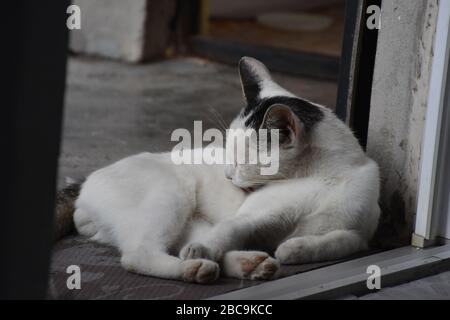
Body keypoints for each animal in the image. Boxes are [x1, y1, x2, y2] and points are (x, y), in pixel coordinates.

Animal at [57, 57, 380, 282]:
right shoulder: (253, 214)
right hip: (171, 195)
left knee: (191, 243)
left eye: (241, 160)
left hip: (189, 218)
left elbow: (341, 241)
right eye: (228, 154)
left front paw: (297, 248)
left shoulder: (361, 235)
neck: (327, 177)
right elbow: (232, 226)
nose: (227, 175)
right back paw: (195, 265)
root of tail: (84, 183)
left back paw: (247, 264)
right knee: (139, 255)